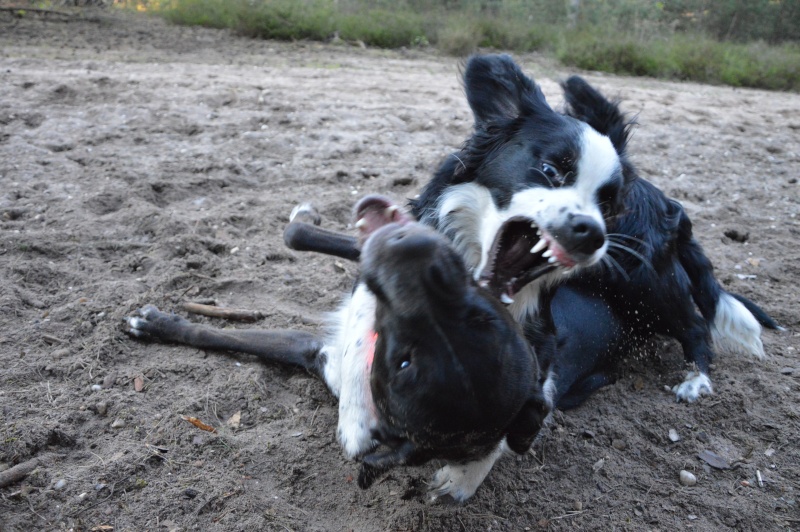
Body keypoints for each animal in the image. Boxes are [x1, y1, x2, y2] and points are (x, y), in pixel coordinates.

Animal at [126, 193, 552, 500]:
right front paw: (157, 324)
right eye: (482, 317)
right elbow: (297, 240)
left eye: (403, 364)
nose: (412, 249)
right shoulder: (318, 348)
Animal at [410, 54, 780, 410]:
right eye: (550, 170)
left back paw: (696, 380)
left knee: (696, 326)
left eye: (608, 202)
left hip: (648, 284)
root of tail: (667, 201)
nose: (590, 232)